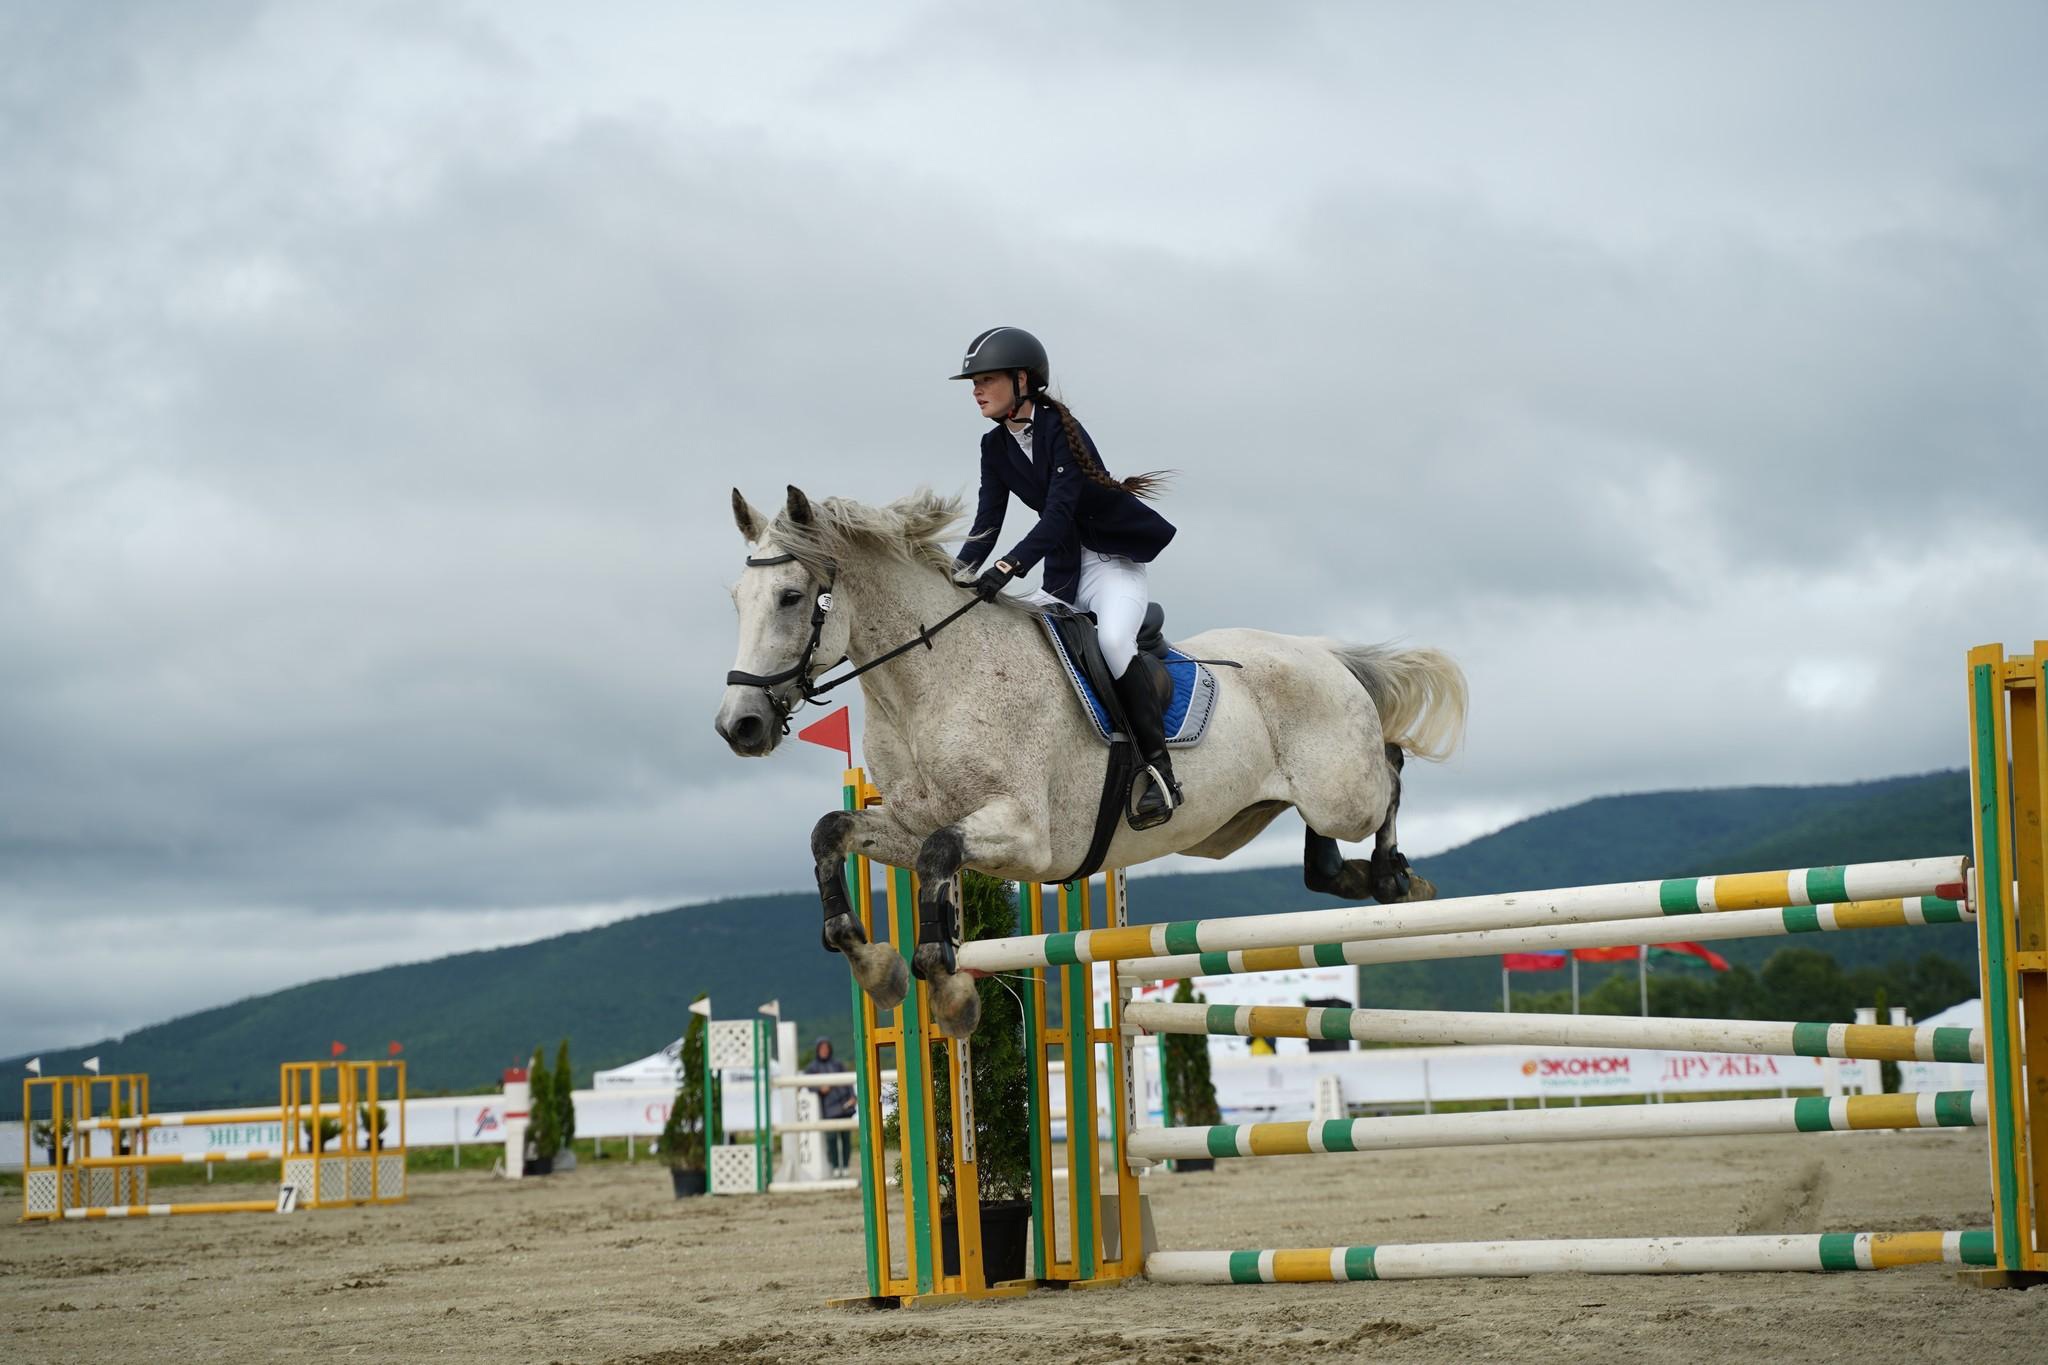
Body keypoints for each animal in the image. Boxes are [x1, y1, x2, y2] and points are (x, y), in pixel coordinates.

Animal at [712, 489, 1466, 1035]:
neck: (929, 685)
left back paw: (1397, 879)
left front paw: (947, 989)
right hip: (1245, 820)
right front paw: (876, 966)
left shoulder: (1027, 837)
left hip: (1341, 789)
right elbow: (832, 833)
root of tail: (1321, 650)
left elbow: (937, 855)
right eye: (736, 601)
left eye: (791, 598)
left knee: (1388, 770)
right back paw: (1359, 875)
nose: (738, 726)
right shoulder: (905, 819)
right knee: (1324, 859)